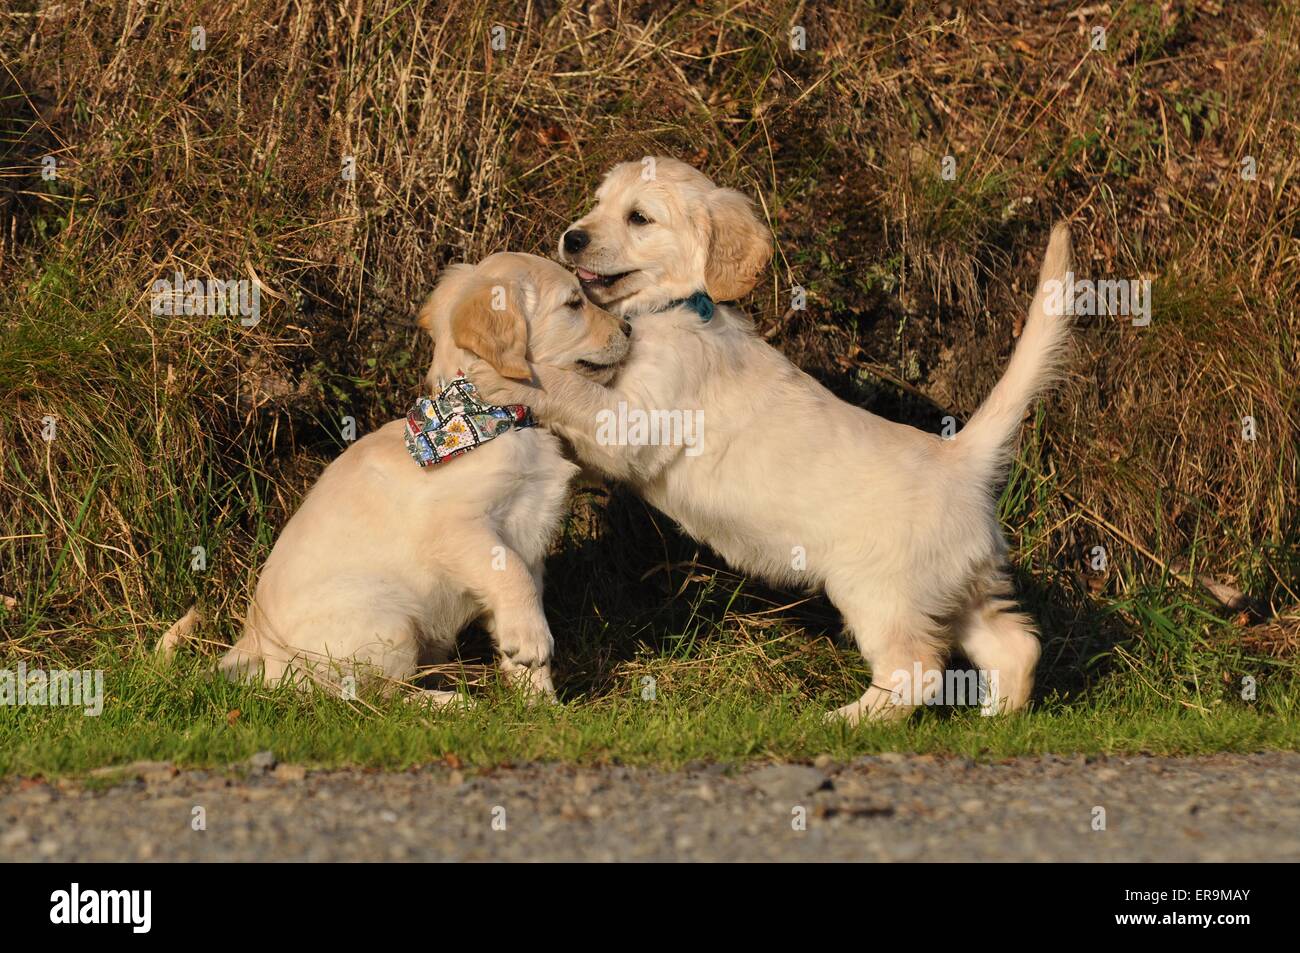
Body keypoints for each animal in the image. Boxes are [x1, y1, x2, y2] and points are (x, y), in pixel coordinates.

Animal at [211, 252, 629, 696]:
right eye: (574, 304)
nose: (629, 328)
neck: (490, 416)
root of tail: (256, 650)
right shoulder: (460, 530)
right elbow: (513, 577)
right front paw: (532, 641)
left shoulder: (528, 535)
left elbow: (524, 597)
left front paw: (538, 699)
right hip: (389, 621)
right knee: (377, 695)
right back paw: (456, 701)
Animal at [473, 157, 1071, 722]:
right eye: (599, 204)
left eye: (638, 217)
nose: (572, 237)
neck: (672, 308)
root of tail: (960, 457)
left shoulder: (635, 420)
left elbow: (572, 390)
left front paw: (507, 376)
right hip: (960, 588)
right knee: (1017, 645)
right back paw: (997, 717)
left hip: (881, 591)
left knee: (917, 670)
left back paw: (846, 720)